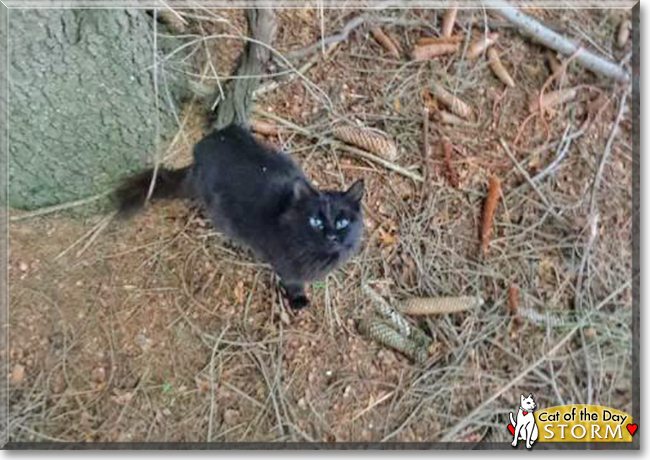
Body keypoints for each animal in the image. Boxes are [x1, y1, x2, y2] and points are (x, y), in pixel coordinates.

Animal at [113, 123, 362, 310]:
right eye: (316, 222)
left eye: (342, 222)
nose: (331, 236)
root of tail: (199, 155)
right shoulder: (286, 267)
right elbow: (294, 282)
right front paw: (298, 299)